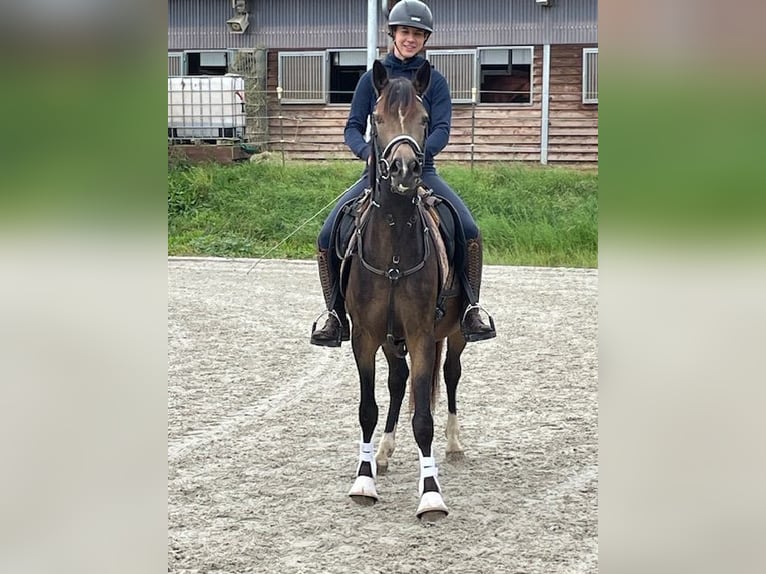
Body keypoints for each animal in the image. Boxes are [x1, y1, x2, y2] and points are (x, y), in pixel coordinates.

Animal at [346, 60, 468, 524]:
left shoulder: (420, 335)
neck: (395, 243)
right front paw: (364, 480)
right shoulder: (364, 336)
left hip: (455, 334)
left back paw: (454, 444)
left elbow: (425, 421)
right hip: (389, 340)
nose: (403, 170)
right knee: (398, 384)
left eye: (425, 119)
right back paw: (383, 451)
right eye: (376, 119)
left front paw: (430, 494)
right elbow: (368, 408)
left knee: (449, 377)